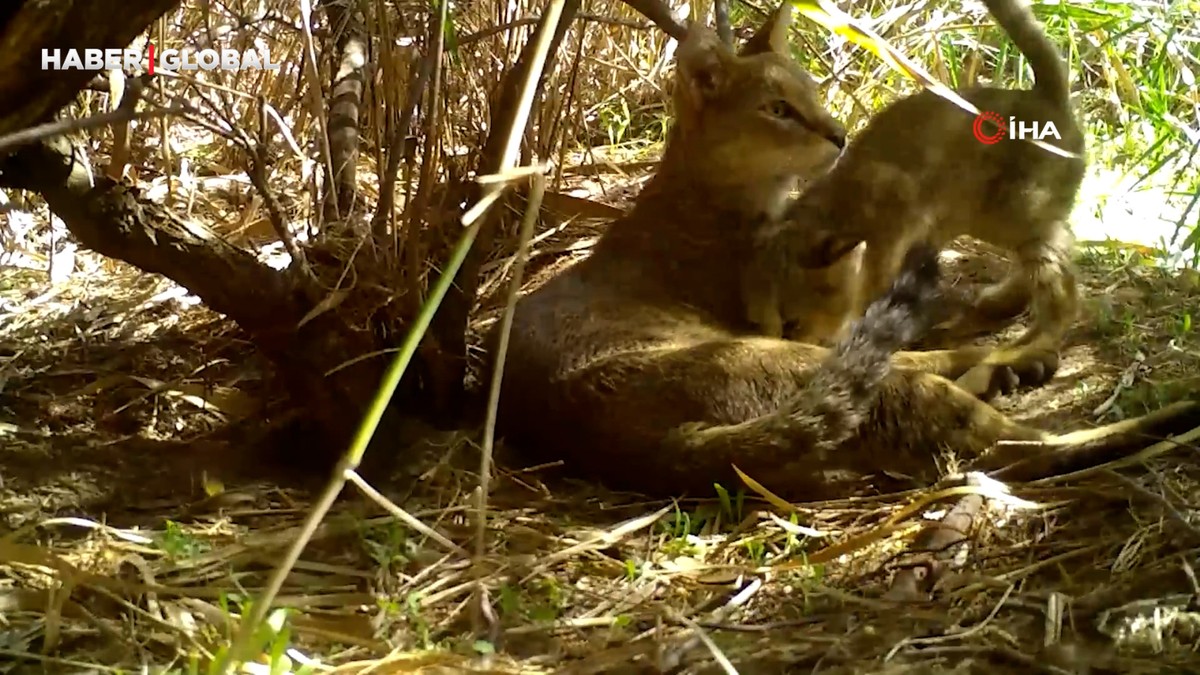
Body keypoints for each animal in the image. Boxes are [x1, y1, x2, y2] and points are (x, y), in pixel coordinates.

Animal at [739, 0, 1089, 391]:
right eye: (761, 325)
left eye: (792, 323)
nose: (791, 342)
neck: (837, 203)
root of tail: (1046, 94)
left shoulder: (897, 211)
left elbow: (875, 281)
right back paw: (990, 310)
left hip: (1015, 212)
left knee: (1063, 293)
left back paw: (1018, 349)